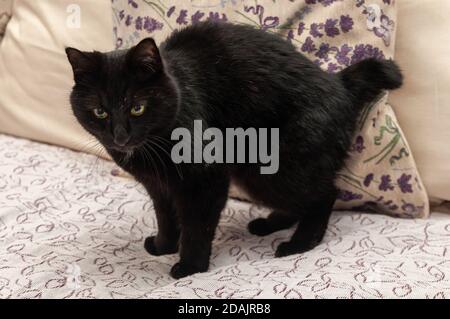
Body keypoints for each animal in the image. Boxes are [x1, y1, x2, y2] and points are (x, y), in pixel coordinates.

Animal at [65, 21, 402, 278]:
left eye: (137, 107)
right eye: (99, 111)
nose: (120, 136)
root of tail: (339, 84)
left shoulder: (205, 180)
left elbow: (197, 226)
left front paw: (190, 266)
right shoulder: (158, 186)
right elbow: (166, 217)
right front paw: (163, 246)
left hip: (276, 167)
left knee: (324, 195)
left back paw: (297, 244)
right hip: (258, 174)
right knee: (301, 201)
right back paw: (267, 224)